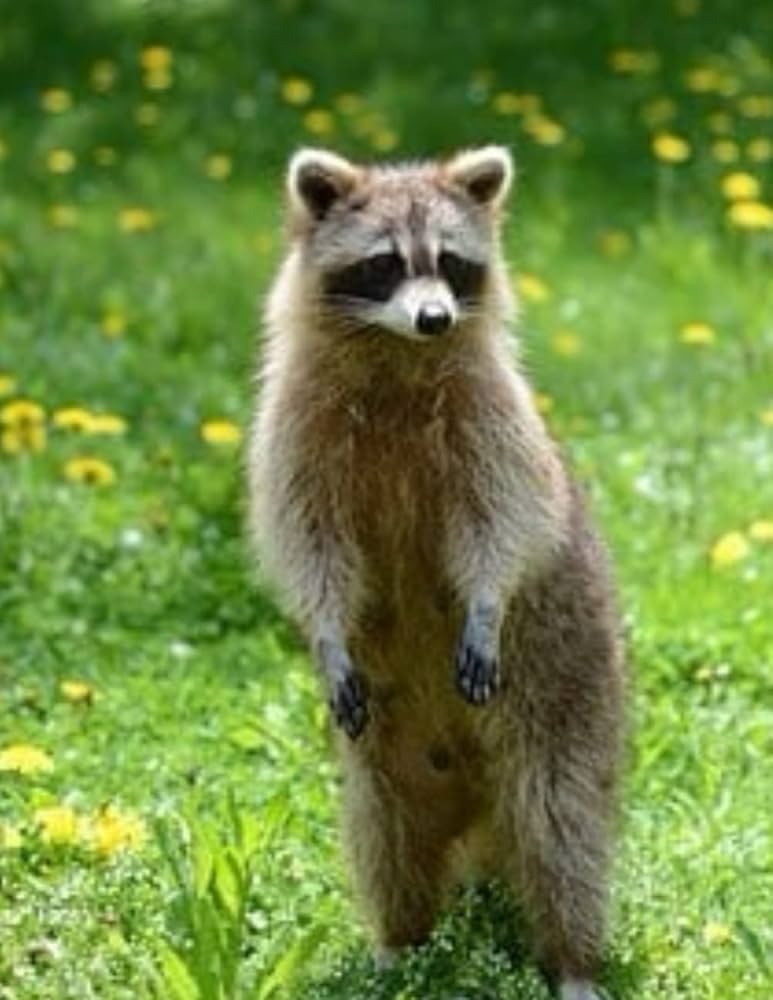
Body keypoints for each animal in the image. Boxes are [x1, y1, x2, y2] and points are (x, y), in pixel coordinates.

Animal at [248, 146, 625, 1000]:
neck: (397, 356)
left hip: (569, 698)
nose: (434, 318)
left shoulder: (492, 421)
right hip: (380, 762)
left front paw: (484, 603)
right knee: (385, 839)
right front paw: (324, 630)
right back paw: (400, 943)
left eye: (449, 262)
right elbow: (305, 543)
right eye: (385, 264)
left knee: (561, 831)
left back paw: (571, 959)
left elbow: (506, 522)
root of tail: (474, 811)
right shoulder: (295, 430)